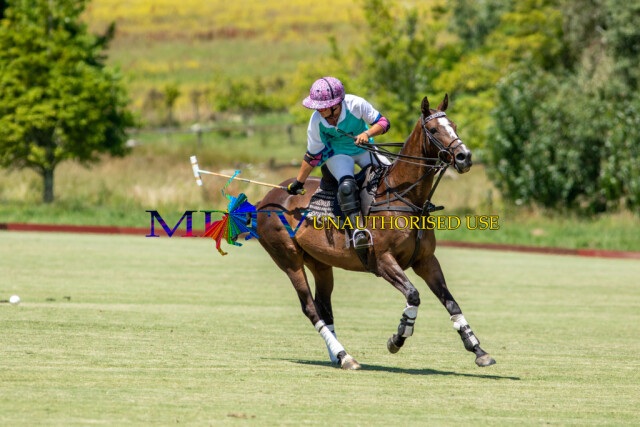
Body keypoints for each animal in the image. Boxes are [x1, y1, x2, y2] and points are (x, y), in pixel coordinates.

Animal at [256, 94, 495, 370]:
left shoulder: (425, 260)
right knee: (310, 307)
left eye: (454, 125)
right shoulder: (382, 261)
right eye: (434, 129)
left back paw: (339, 355)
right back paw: (344, 356)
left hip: (319, 262)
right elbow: (413, 295)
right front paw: (398, 337)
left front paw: (478, 349)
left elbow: (450, 301)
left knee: (324, 306)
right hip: (288, 259)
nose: (465, 157)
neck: (406, 198)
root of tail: (266, 198)